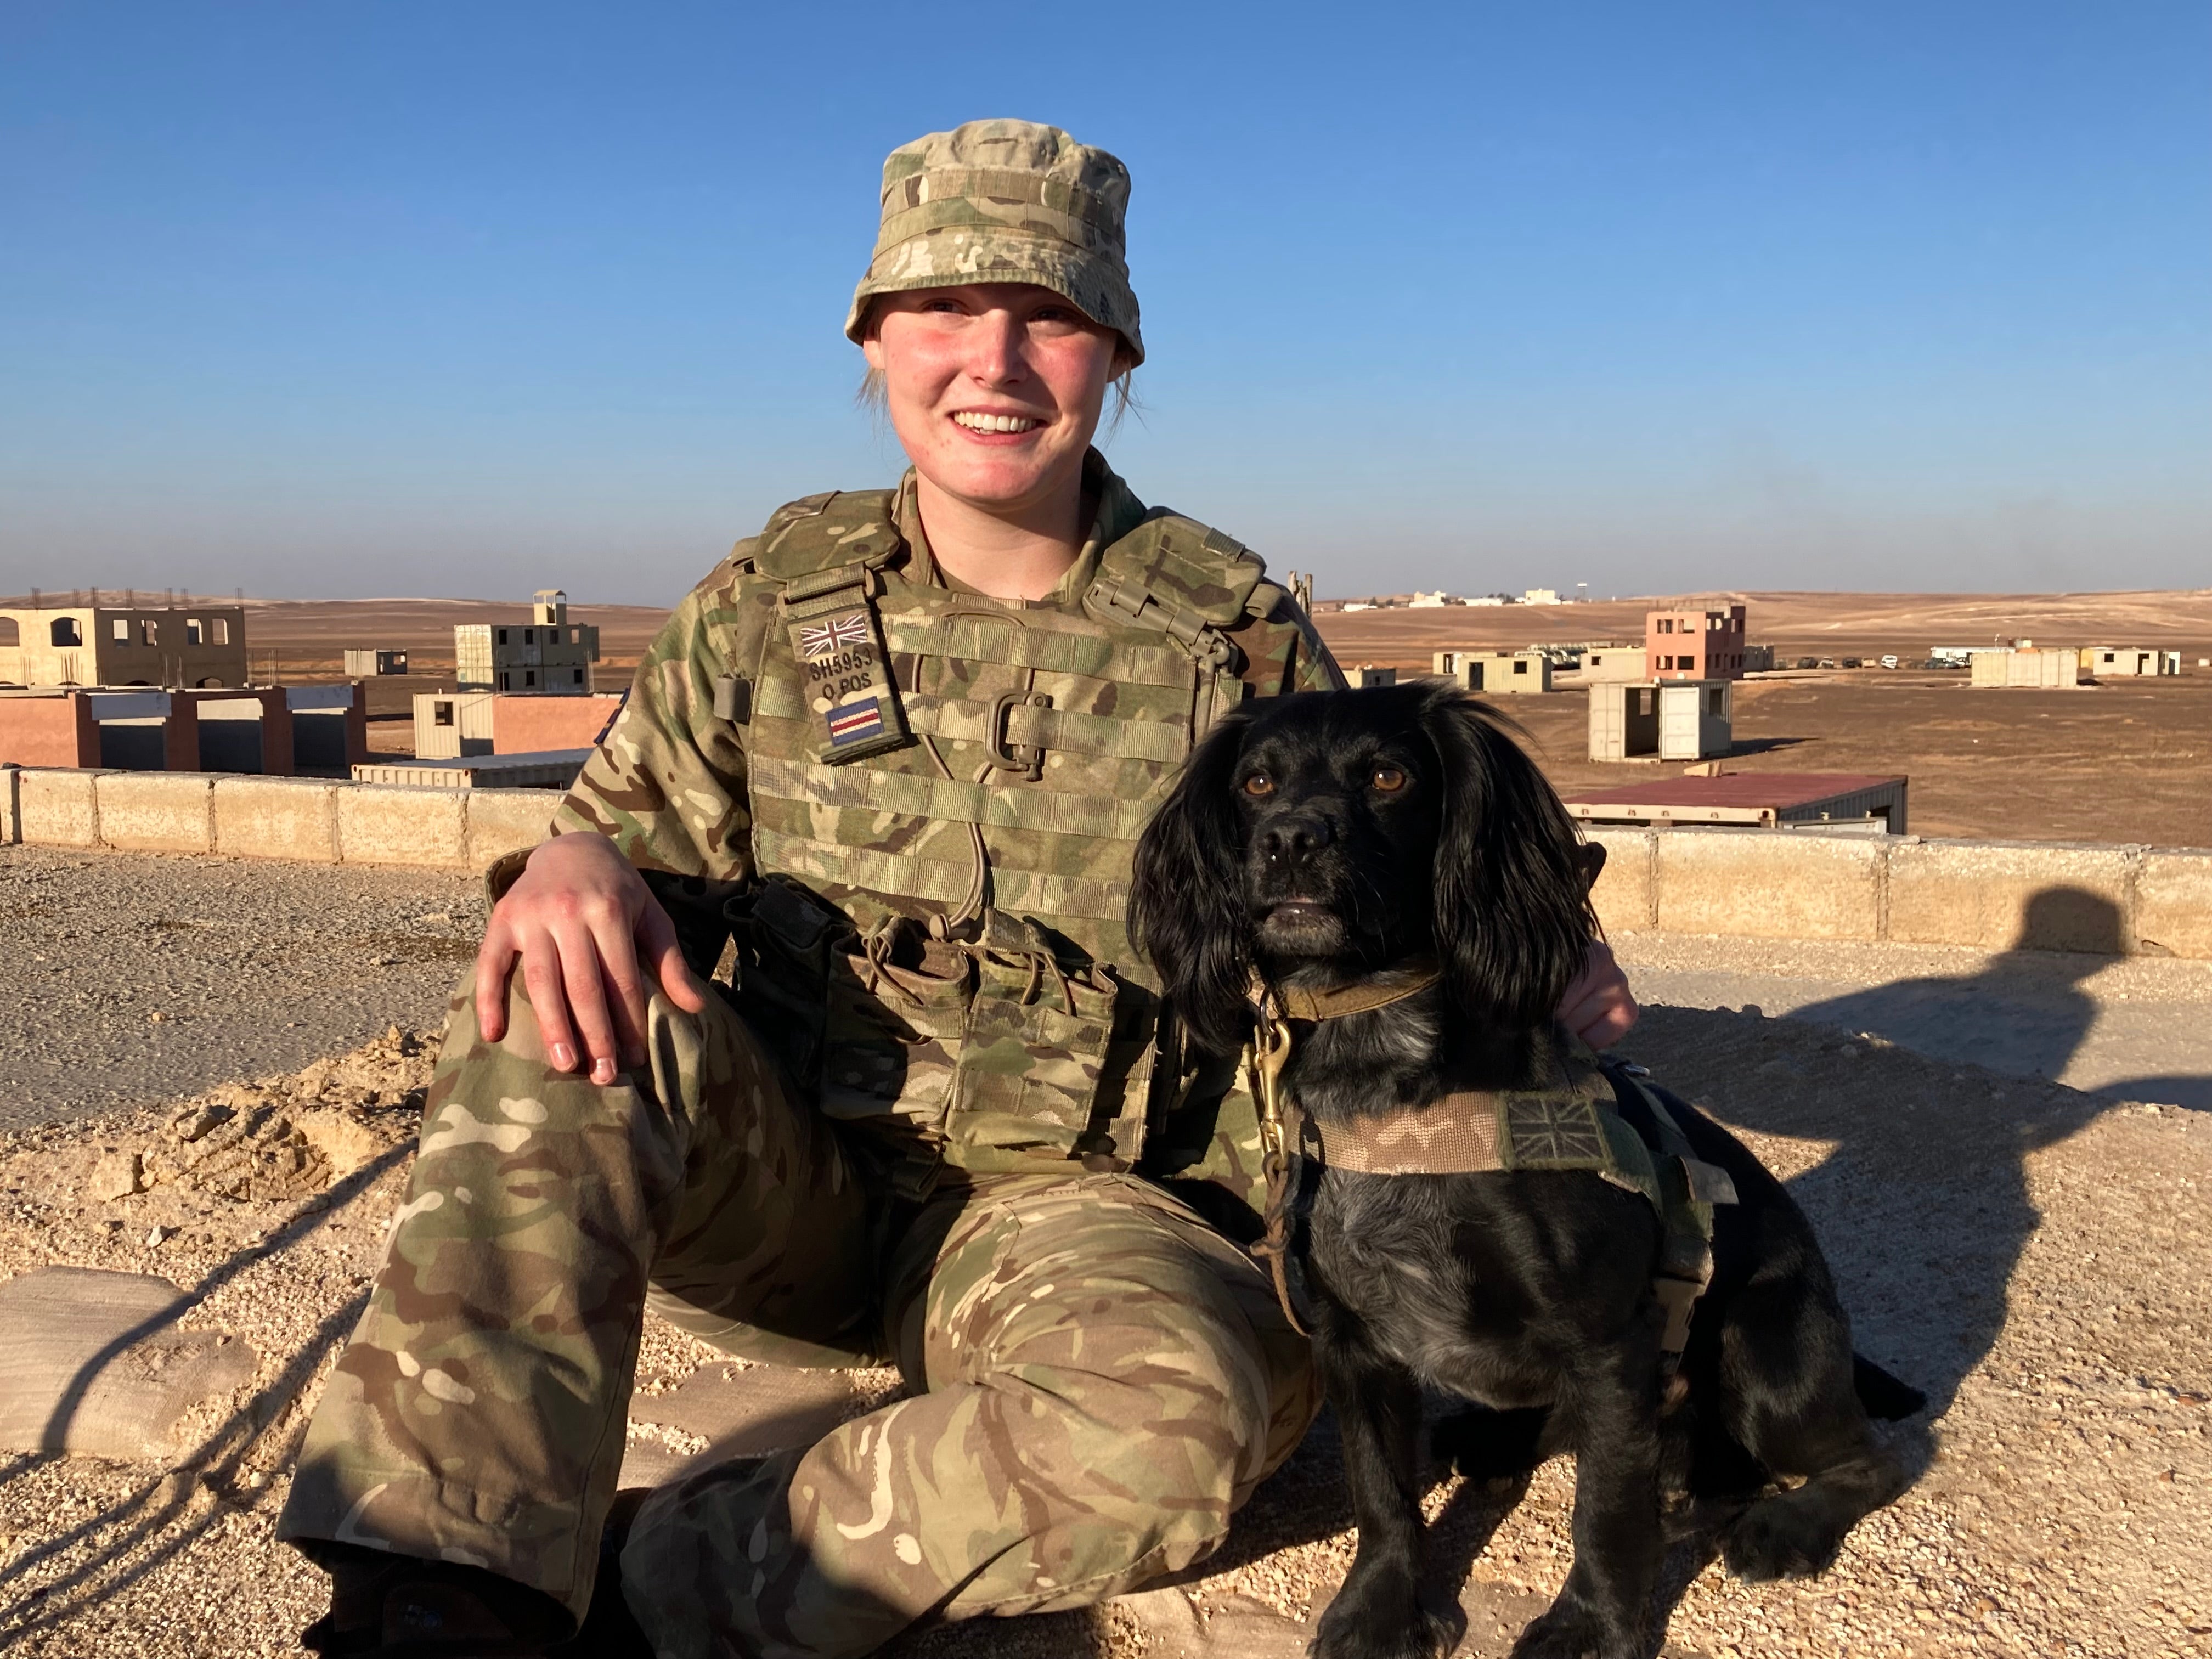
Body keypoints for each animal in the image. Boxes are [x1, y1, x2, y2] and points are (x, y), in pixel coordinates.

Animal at [1132, 676, 1911, 1659]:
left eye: (1389, 777)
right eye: (1257, 783)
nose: (1290, 841)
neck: (1392, 1089)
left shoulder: (1612, 1342)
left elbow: (1604, 1513)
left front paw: (1590, 1627)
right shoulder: (1352, 1340)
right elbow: (1381, 1492)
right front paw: (1378, 1609)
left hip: (1762, 1347)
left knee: (1868, 1457)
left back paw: (1783, 1524)